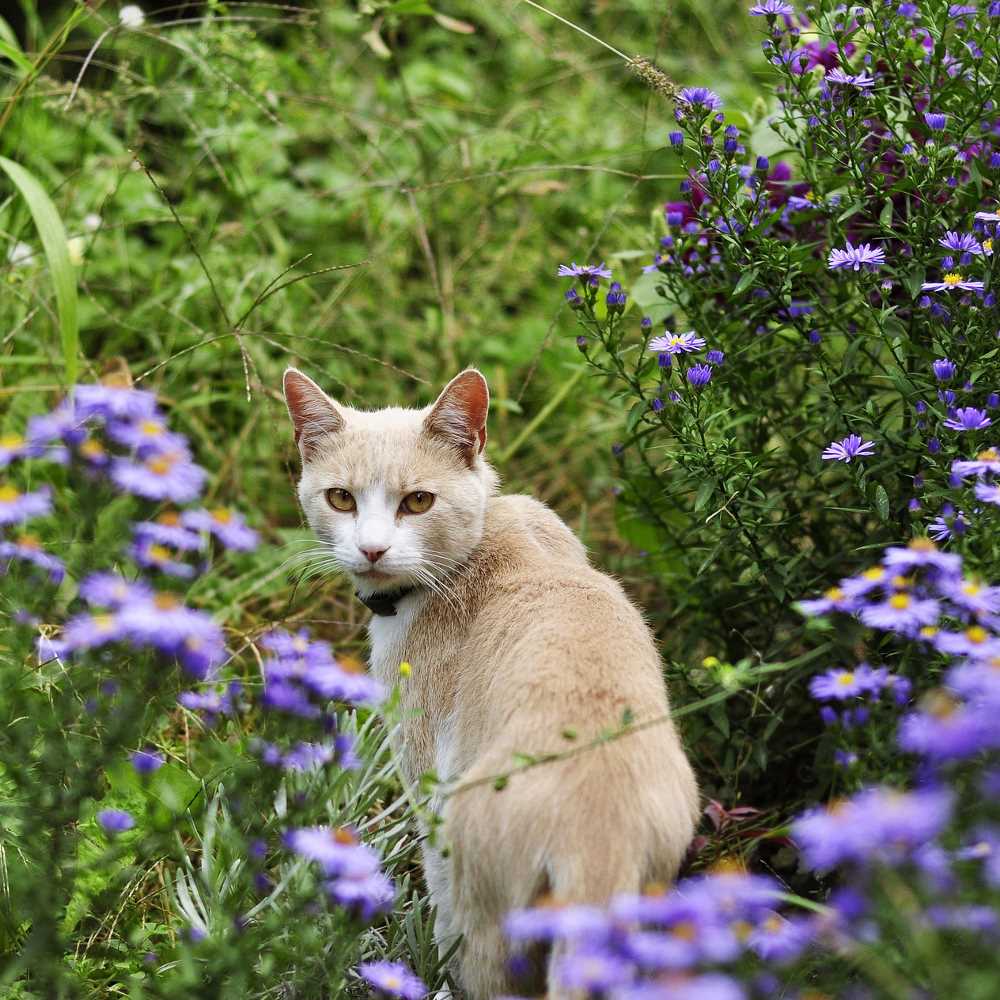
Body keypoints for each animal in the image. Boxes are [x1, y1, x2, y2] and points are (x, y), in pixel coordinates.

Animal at [284, 370, 704, 1000]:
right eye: (341, 498)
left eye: (418, 501)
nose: (372, 549)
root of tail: (596, 834)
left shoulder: (426, 774)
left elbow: (437, 896)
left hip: (485, 897)